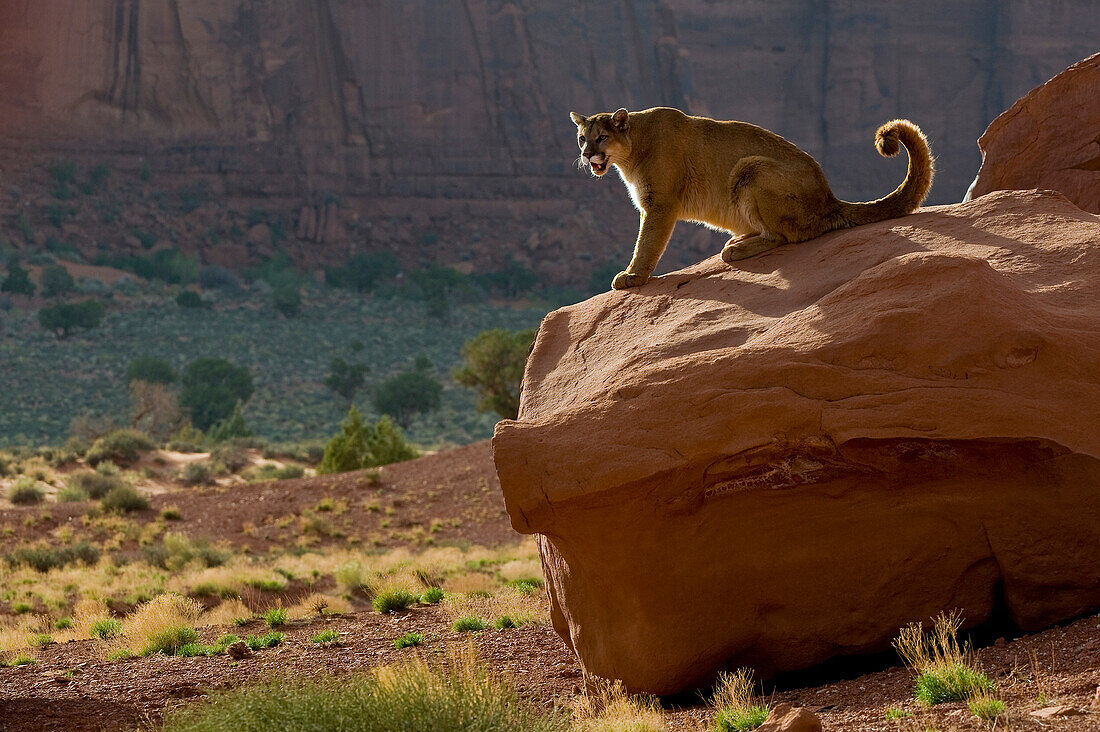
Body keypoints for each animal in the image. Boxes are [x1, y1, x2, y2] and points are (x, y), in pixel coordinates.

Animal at [572, 107, 932, 290]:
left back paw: (736, 249)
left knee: (787, 235)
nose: (587, 154)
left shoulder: (659, 203)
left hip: (752, 168)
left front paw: (633, 276)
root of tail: (829, 197)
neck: (634, 147)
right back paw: (739, 239)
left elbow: (647, 242)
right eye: (581, 138)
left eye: (601, 136)